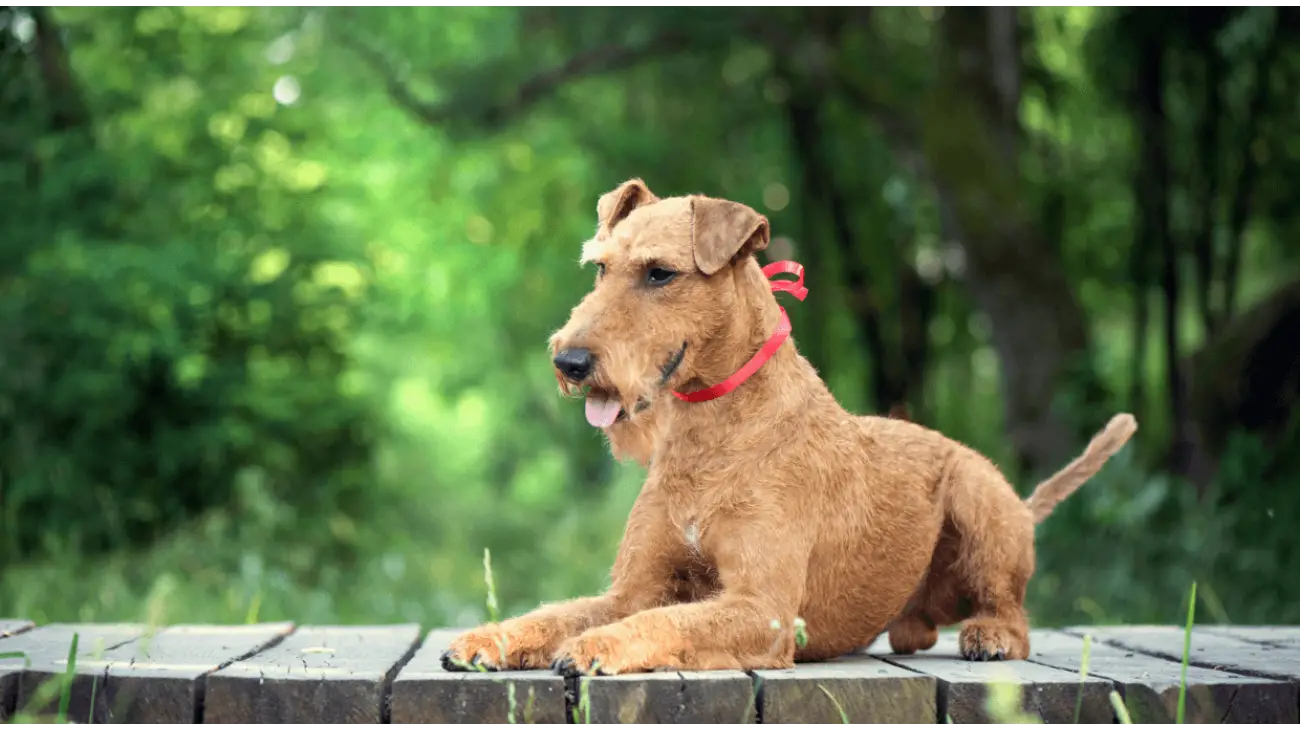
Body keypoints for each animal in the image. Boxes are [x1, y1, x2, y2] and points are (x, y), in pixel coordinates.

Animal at [441, 179, 1133, 675]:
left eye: (660, 272)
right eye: (600, 269)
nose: (569, 362)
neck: (713, 429)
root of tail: (1021, 504)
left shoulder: (763, 609)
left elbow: (661, 625)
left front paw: (596, 648)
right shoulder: (633, 590)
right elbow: (560, 613)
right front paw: (486, 639)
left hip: (977, 497)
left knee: (1011, 611)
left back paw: (988, 635)